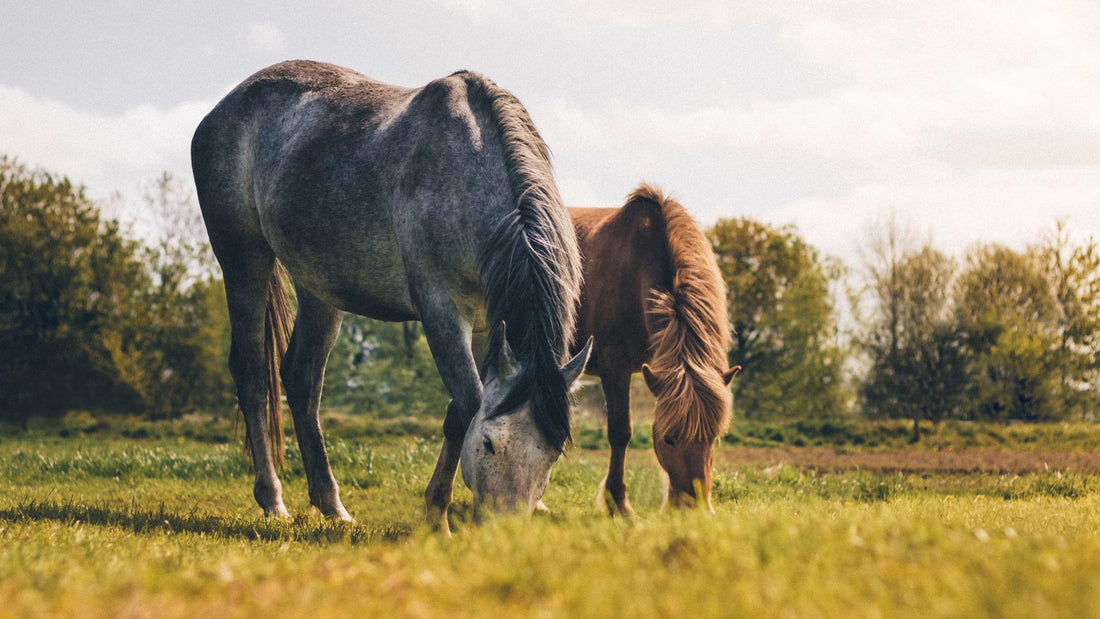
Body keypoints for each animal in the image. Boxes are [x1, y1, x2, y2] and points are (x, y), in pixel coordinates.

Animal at [191, 60, 591, 532]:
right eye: (491, 444)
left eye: (553, 453)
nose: (504, 531)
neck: (467, 172)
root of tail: (223, 108)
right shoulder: (441, 310)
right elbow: (468, 405)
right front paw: (438, 517)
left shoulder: (486, 325)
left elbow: (458, 412)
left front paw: (435, 511)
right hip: (244, 262)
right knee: (254, 375)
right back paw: (273, 501)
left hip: (319, 288)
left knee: (302, 380)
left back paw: (332, 505)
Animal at [570, 184, 739, 514]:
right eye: (669, 439)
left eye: (713, 438)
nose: (694, 509)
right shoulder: (615, 367)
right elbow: (620, 433)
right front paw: (619, 504)